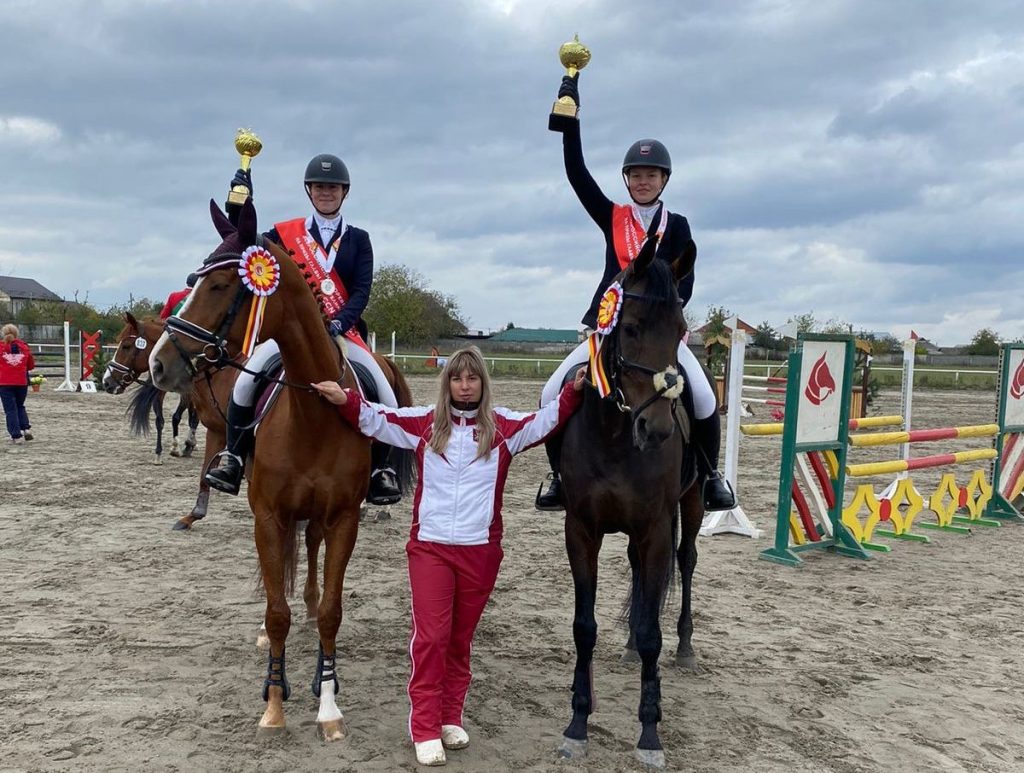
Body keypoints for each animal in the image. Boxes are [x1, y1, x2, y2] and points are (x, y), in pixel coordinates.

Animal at [102, 315, 198, 464]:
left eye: (126, 346)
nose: (107, 382)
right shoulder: (159, 393)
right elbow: (159, 420)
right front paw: (158, 453)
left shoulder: (187, 393)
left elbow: (177, 417)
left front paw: (177, 447)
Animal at [148, 199, 411, 737]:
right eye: (192, 280)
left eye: (221, 285)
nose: (158, 365)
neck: (312, 413)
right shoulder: (268, 517)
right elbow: (275, 613)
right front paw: (273, 701)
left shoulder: (343, 519)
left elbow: (331, 611)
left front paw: (327, 702)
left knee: (309, 554)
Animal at [561, 238, 704, 769]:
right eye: (631, 327)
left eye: (680, 331)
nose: (658, 430)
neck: (616, 435)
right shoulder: (581, 529)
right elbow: (584, 626)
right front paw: (578, 721)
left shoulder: (657, 529)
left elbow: (652, 635)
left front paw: (649, 732)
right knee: (638, 576)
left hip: (693, 504)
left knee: (686, 563)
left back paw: (685, 647)